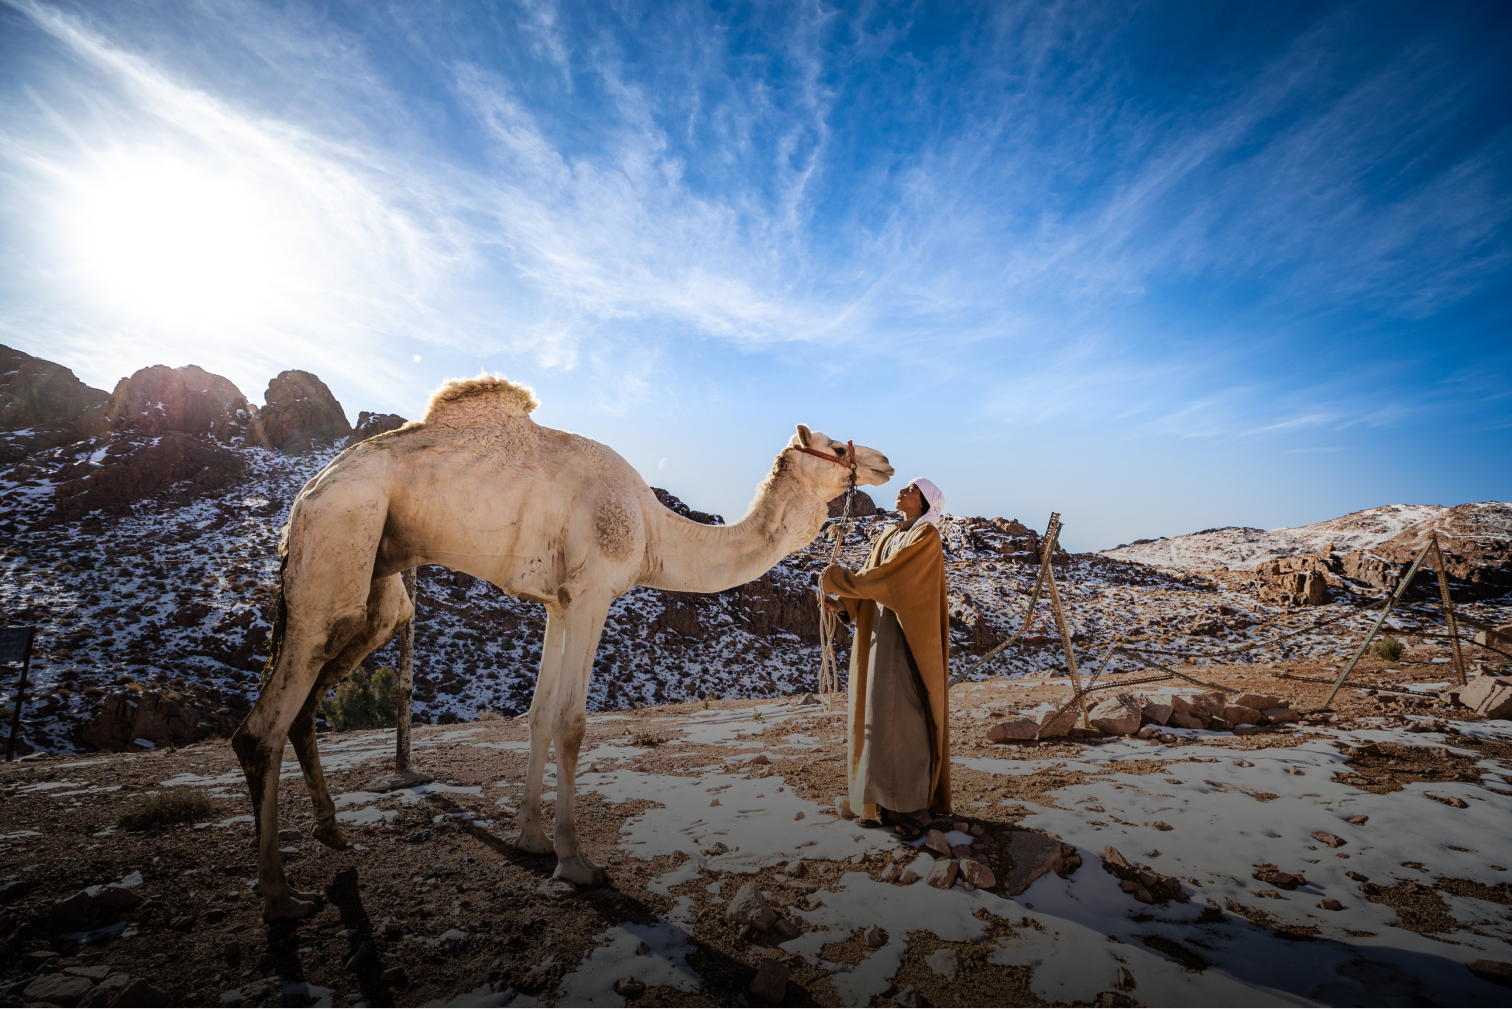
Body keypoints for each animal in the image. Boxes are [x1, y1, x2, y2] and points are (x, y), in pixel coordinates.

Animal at [229, 375, 889, 919]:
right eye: (835, 447)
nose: (882, 459)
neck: (654, 532)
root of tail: (305, 496)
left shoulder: (558, 603)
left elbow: (540, 715)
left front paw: (531, 838)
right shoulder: (594, 590)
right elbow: (571, 723)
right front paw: (575, 863)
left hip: (376, 589)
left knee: (314, 693)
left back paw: (330, 835)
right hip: (341, 540)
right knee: (263, 724)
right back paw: (280, 894)